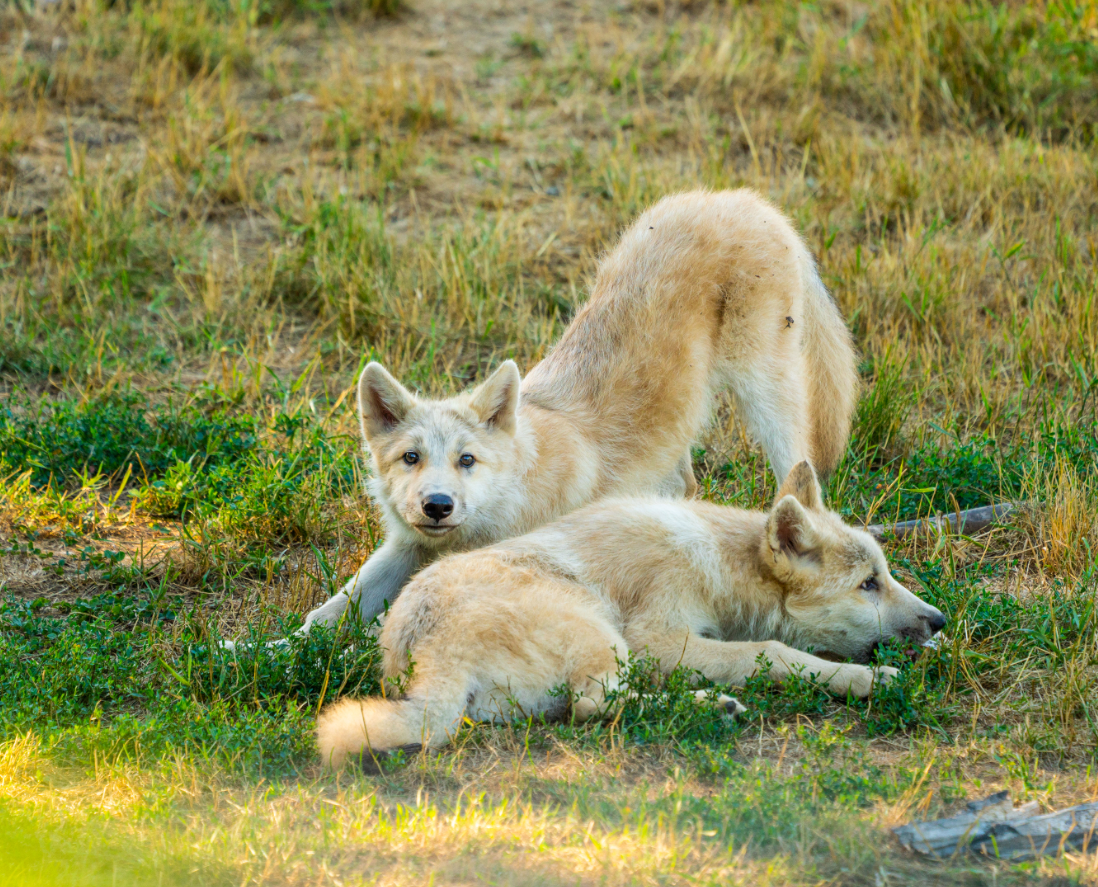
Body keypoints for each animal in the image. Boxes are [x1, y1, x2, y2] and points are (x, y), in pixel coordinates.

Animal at [298, 189, 859, 635]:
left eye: (467, 460)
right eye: (410, 458)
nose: (437, 505)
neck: (512, 499)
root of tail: (740, 199)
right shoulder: (403, 548)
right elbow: (323, 615)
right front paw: (280, 651)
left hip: (765, 395)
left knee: (802, 476)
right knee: (686, 483)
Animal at [317, 462, 946, 768]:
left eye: (887, 575)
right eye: (868, 585)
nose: (939, 620)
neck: (718, 559)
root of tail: (425, 658)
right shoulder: (658, 640)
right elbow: (774, 653)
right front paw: (870, 680)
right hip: (604, 633)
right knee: (597, 705)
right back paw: (711, 706)